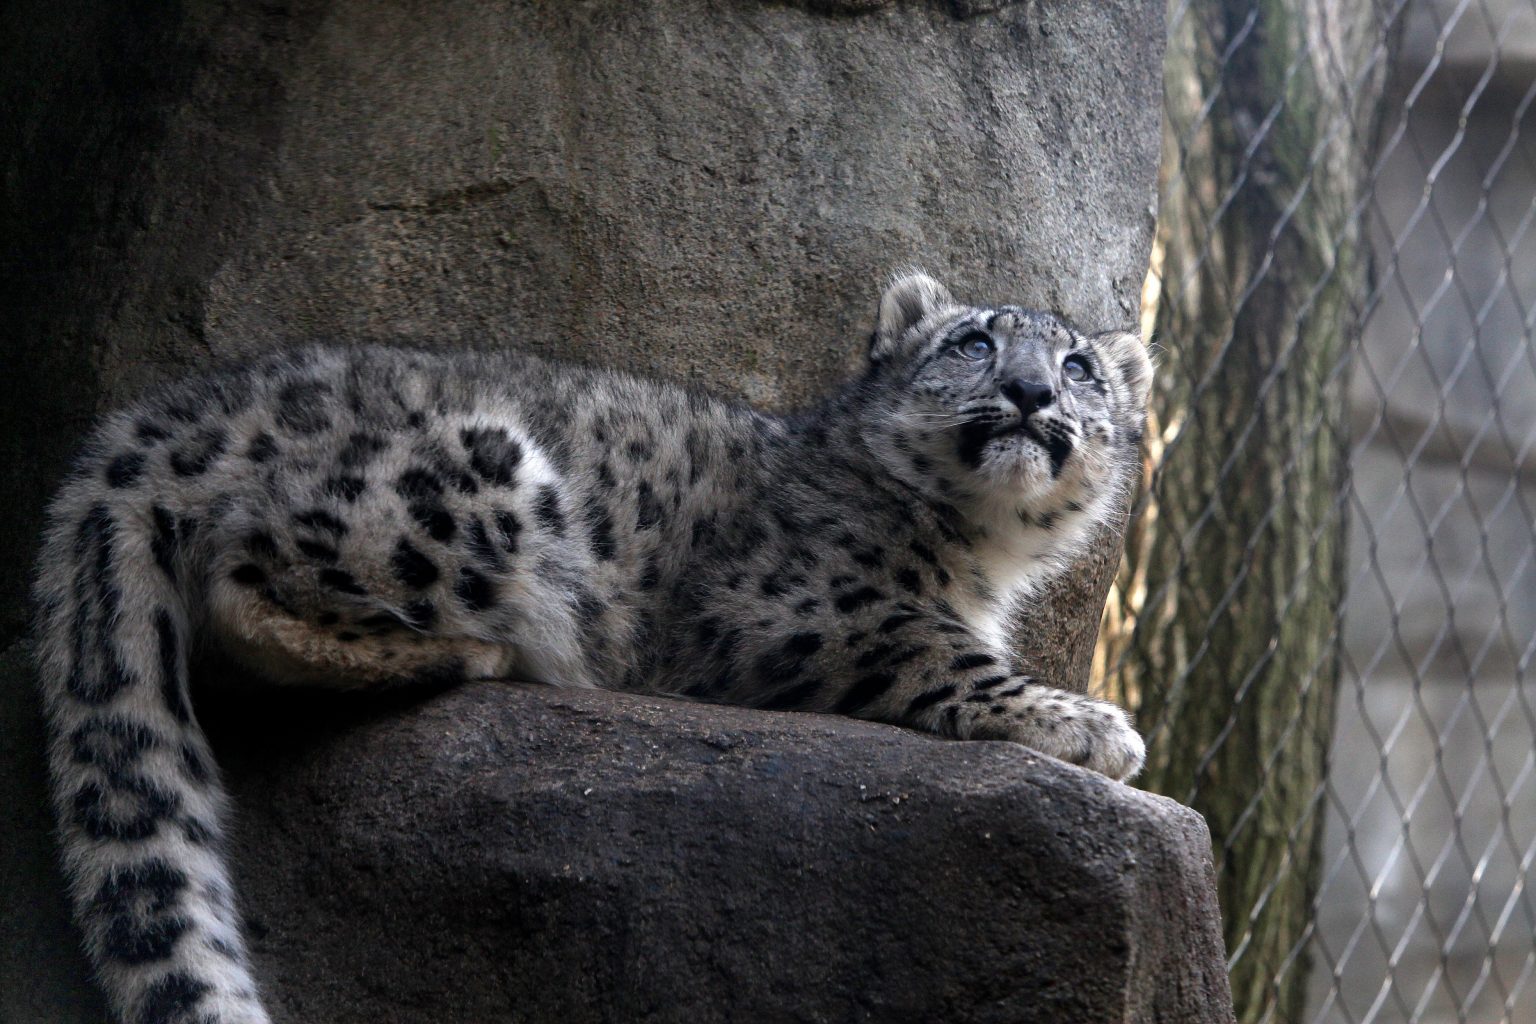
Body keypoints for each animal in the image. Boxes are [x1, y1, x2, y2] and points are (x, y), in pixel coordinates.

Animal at [33, 271, 1155, 1024]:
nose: (1031, 395)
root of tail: (169, 410)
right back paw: (482, 652)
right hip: (469, 479)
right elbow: (944, 653)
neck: (982, 553)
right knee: (242, 587)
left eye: (1079, 366)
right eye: (972, 344)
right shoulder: (804, 605)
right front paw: (1094, 726)